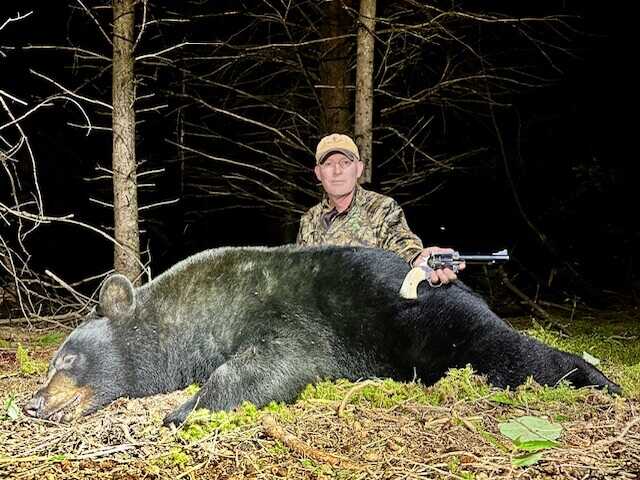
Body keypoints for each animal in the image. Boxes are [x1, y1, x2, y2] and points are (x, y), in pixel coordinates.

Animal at [24, 245, 620, 426]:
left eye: (67, 360)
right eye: (51, 364)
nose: (32, 402)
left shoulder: (285, 313)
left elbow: (279, 360)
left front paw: (183, 409)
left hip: (434, 328)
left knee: (510, 354)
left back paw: (600, 380)